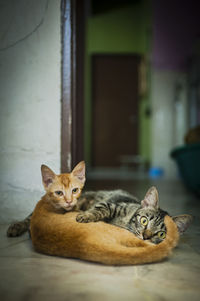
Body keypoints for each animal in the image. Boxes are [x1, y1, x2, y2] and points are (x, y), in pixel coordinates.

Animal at [29, 161, 180, 264]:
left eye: (161, 234)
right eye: (144, 220)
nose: (146, 236)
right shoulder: (111, 205)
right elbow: (100, 209)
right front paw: (87, 215)